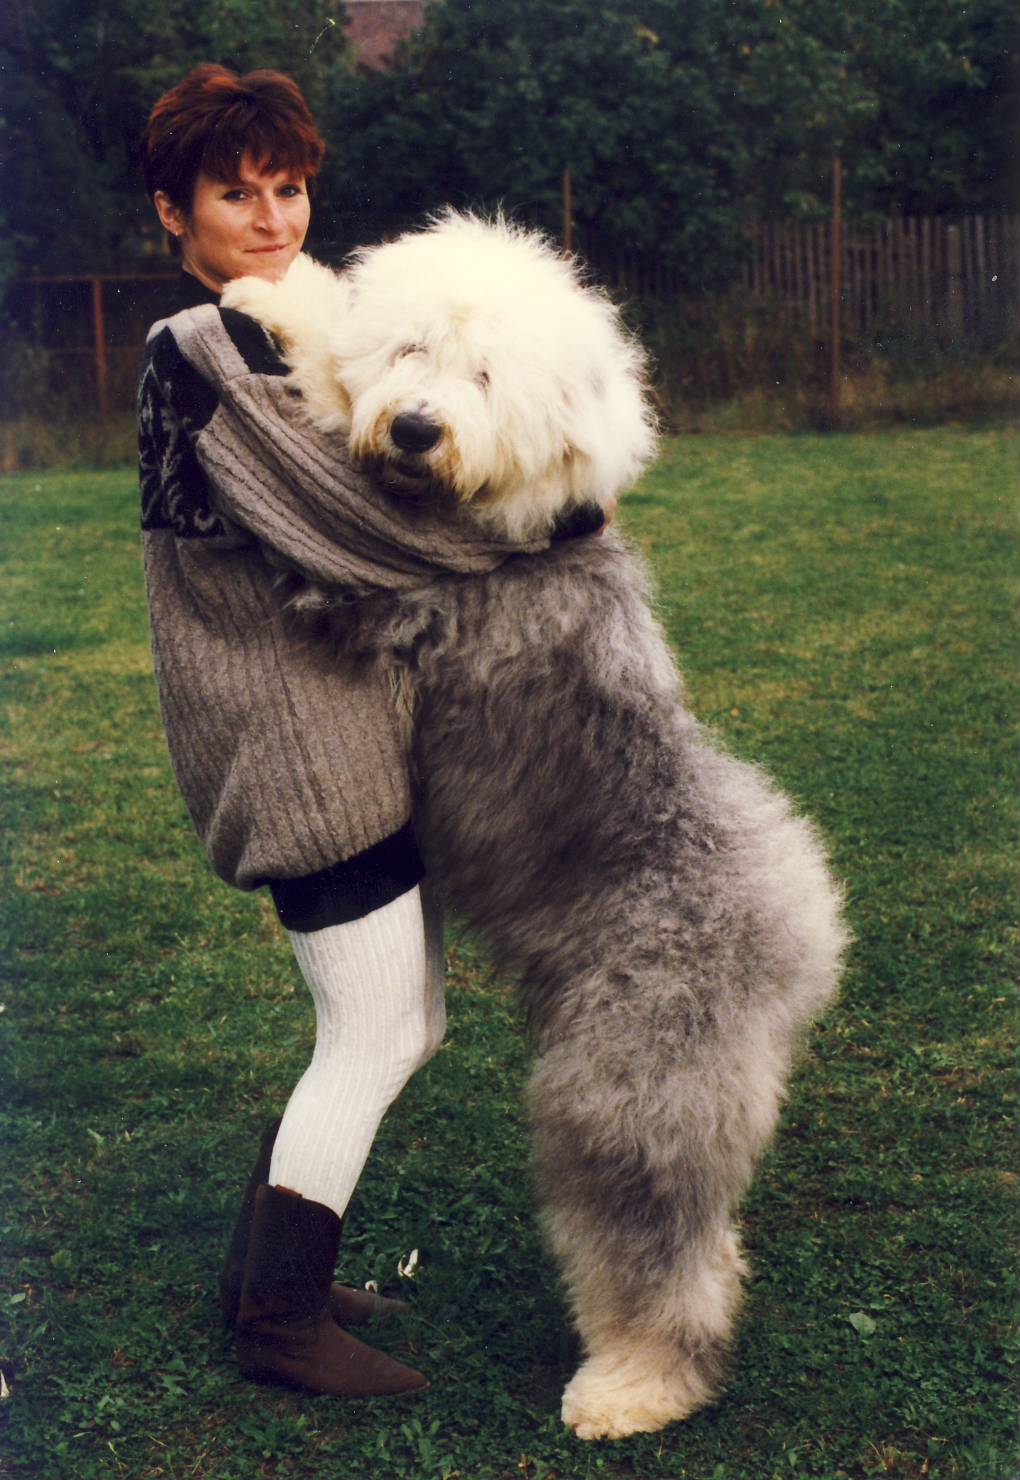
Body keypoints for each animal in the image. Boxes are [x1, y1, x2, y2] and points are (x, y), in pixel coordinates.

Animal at [222, 214, 847, 1440]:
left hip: (626, 1089)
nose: (416, 429)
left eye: (487, 377)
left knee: (655, 1246)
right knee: (711, 1242)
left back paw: (630, 1387)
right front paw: (298, 301)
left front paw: (283, 315)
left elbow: (319, 424)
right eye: (415, 349)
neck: (521, 527)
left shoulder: (391, 585)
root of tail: (799, 938)